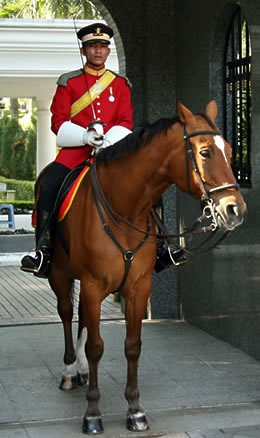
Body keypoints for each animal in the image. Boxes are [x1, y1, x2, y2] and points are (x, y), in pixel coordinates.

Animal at [46, 102, 246, 434]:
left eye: (230, 151)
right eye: (205, 152)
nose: (236, 210)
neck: (124, 206)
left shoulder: (138, 286)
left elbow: (132, 346)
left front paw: (135, 411)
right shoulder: (92, 285)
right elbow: (96, 347)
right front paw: (92, 413)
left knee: (82, 319)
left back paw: (82, 370)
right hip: (59, 276)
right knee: (65, 313)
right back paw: (70, 370)